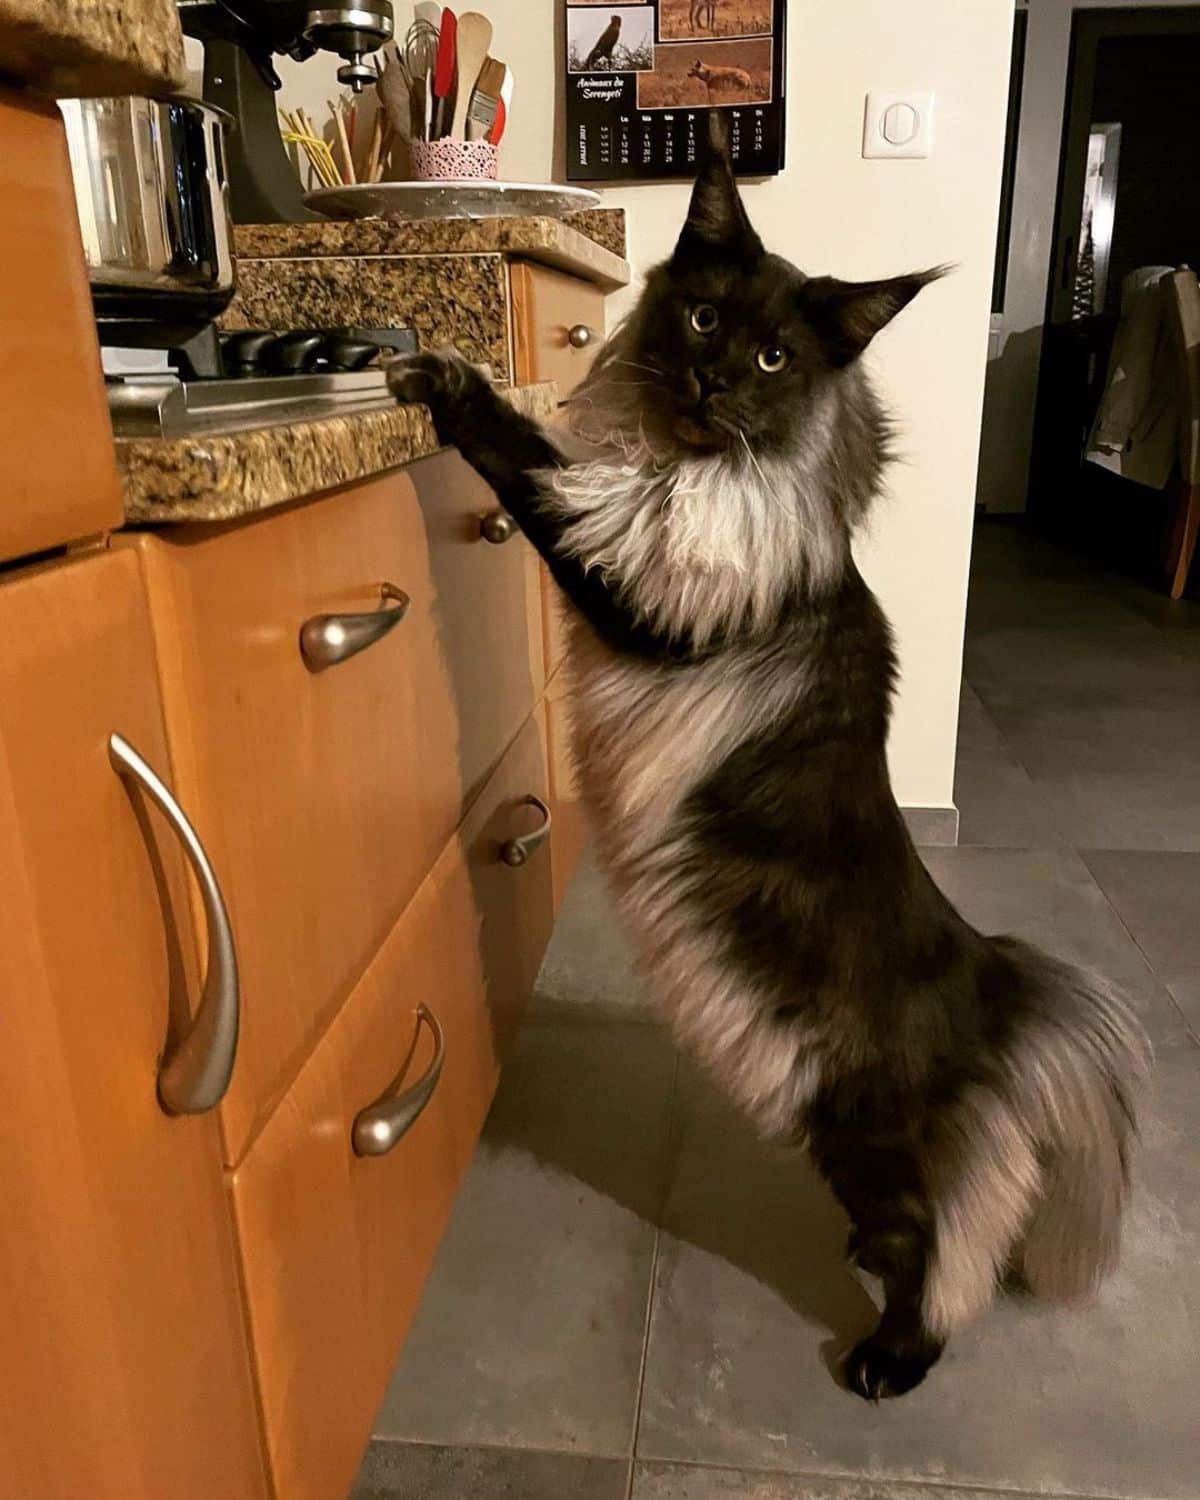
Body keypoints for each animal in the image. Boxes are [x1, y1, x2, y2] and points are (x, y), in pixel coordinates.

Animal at [390, 126, 1146, 1392]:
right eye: (703, 320)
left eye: (775, 355)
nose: (712, 384)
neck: (690, 466)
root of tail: (993, 978)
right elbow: (552, 455)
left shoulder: (627, 582)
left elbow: (525, 459)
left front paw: (439, 377)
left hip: (863, 1141)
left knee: (944, 1256)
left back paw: (888, 1360)